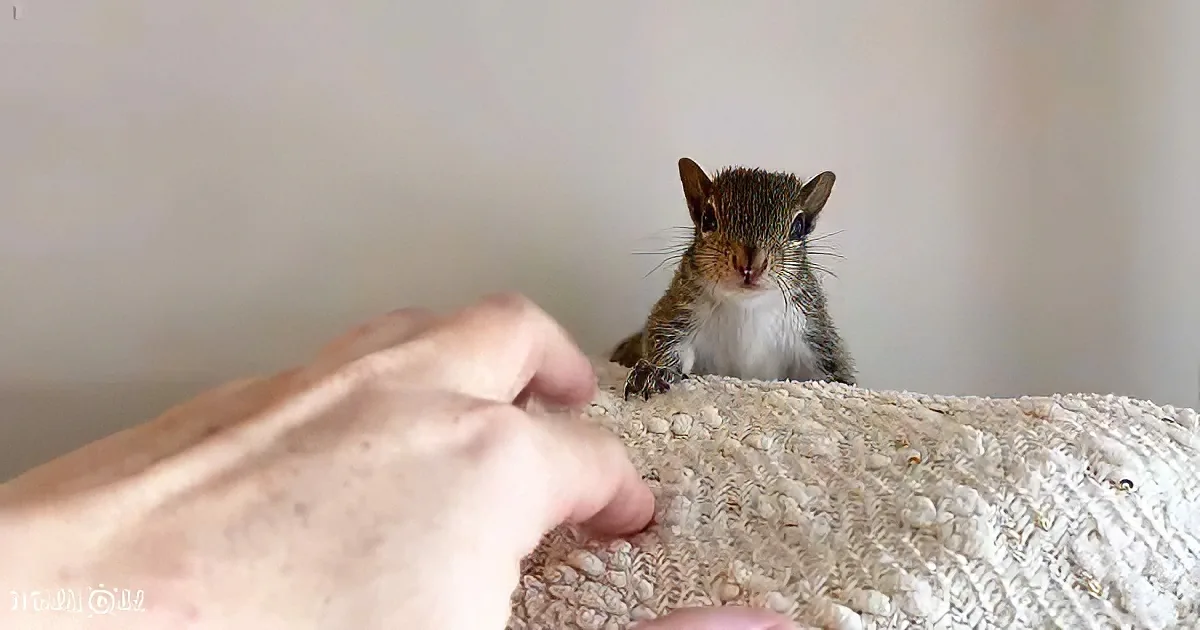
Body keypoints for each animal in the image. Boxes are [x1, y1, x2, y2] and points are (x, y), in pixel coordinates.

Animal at [611, 157, 855, 400]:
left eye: (799, 226)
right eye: (707, 218)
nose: (751, 265)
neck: (746, 305)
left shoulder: (814, 334)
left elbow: (833, 370)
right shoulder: (680, 313)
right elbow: (664, 340)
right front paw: (654, 372)